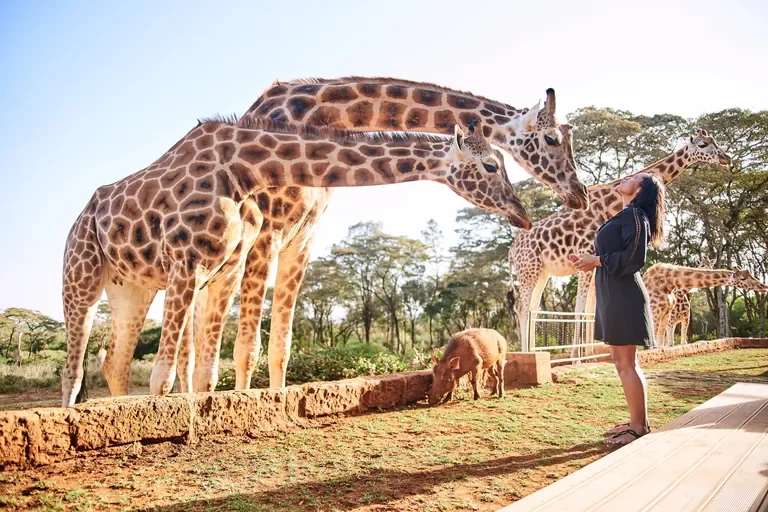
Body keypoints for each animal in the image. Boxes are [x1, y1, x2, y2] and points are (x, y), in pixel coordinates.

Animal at [62, 116, 530, 406]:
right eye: (491, 165)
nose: (522, 212)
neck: (244, 171)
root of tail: (83, 215)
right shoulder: (186, 262)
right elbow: (163, 378)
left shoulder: (226, 269)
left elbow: (207, 375)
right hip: (80, 276)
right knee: (75, 369)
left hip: (131, 288)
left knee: (114, 361)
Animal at [175, 77, 589, 394]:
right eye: (552, 139)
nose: (580, 195)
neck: (315, 115)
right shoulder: (268, 232)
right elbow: (247, 348)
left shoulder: (303, 238)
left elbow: (281, 347)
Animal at [507, 129, 732, 353]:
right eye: (703, 145)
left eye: (714, 141)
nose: (726, 158)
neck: (608, 205)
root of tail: (511, 250)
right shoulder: (584, 257)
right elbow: (580, 308)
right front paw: (576, 354)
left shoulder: (595, 262)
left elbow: (590, 309)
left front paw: (589, 351)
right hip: (528, 269)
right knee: (522, 308)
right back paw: (526, 353)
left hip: (542, 271)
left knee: (533, 308)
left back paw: (532, 351)